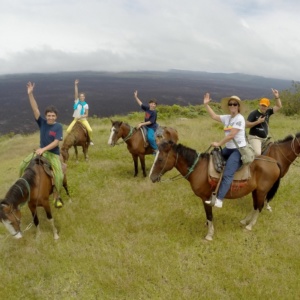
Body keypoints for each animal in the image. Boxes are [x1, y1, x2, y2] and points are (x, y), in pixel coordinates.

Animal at [150, 139, 282, 240]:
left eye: (160, 159)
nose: (151, 177)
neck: (199, 168)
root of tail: (274, 162)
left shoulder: (206, 198)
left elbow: (209, 215)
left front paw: (209, 234)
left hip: (261, 191)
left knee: (259, 207)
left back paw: (250, 226)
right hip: (255, 191)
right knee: (255, 206)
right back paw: (245, 221)